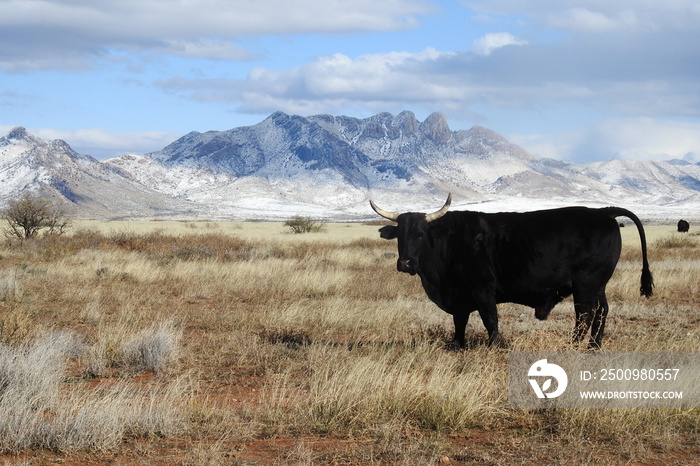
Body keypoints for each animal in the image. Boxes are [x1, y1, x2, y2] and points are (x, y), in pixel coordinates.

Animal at [370, 194, 652, 350]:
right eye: (400, 235)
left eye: (420, 234)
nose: (405, 263)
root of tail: (604, 212)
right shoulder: (460, 297)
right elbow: (460, 321)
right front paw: (457, 344)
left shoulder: (483, 289)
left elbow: (490, 320)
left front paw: (495, 345)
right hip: (598, 286)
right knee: (601, 312)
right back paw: (593, 346)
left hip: (586, 285)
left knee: (584, 315)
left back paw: (573, 345)